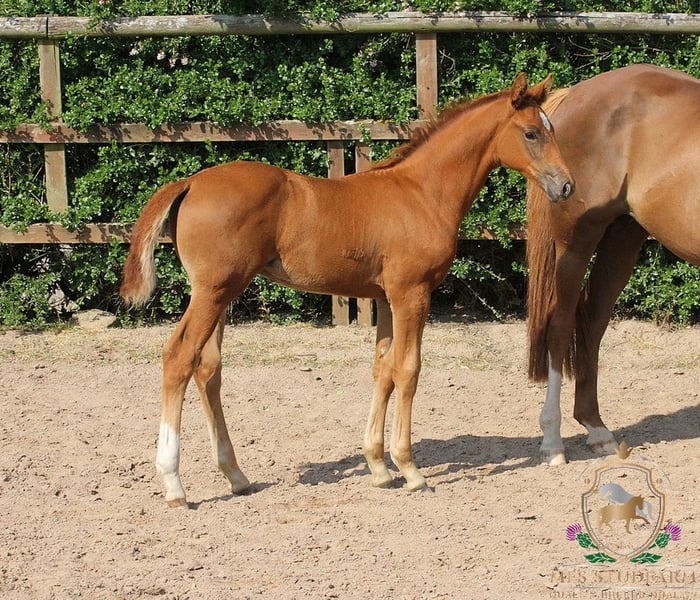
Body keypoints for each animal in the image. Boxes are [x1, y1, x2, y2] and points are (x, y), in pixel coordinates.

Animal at [121, 73, 574, 507]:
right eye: (532, 133)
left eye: (551, 129)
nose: (566, 186)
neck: (422, 193)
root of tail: (190, 182)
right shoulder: (412, 293)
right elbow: (408, 369)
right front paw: (409, 470)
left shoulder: (386, 298)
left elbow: (383, 370)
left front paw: (378, 467)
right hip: (213, 291)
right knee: (179, 357)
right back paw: (174, 484)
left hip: (221, 294)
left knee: (208, 369)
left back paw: (236, 475)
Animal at [526, 64, 700, 465]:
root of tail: (574, 93)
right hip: (575, 243)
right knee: (561, 327)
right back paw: (553, 442)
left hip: (623, 238)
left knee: (592, 321)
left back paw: (597, 429)